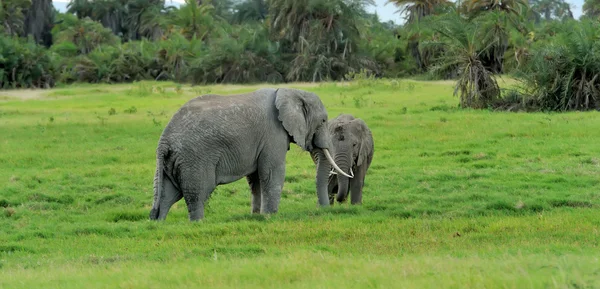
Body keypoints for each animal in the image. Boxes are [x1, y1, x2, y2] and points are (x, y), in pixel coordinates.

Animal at [149, 86, 352, 219]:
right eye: (323, 121)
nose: (324, 209)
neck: (290, 91)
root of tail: (163, 141)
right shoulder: (272, 135)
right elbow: (271, 173)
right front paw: (270, 216)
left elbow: (256, 179)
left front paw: (256, 216)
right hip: (194, 159)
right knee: (197, 194)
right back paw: (198, 222)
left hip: (172, 161)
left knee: (167, 195)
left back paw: (159, 222)